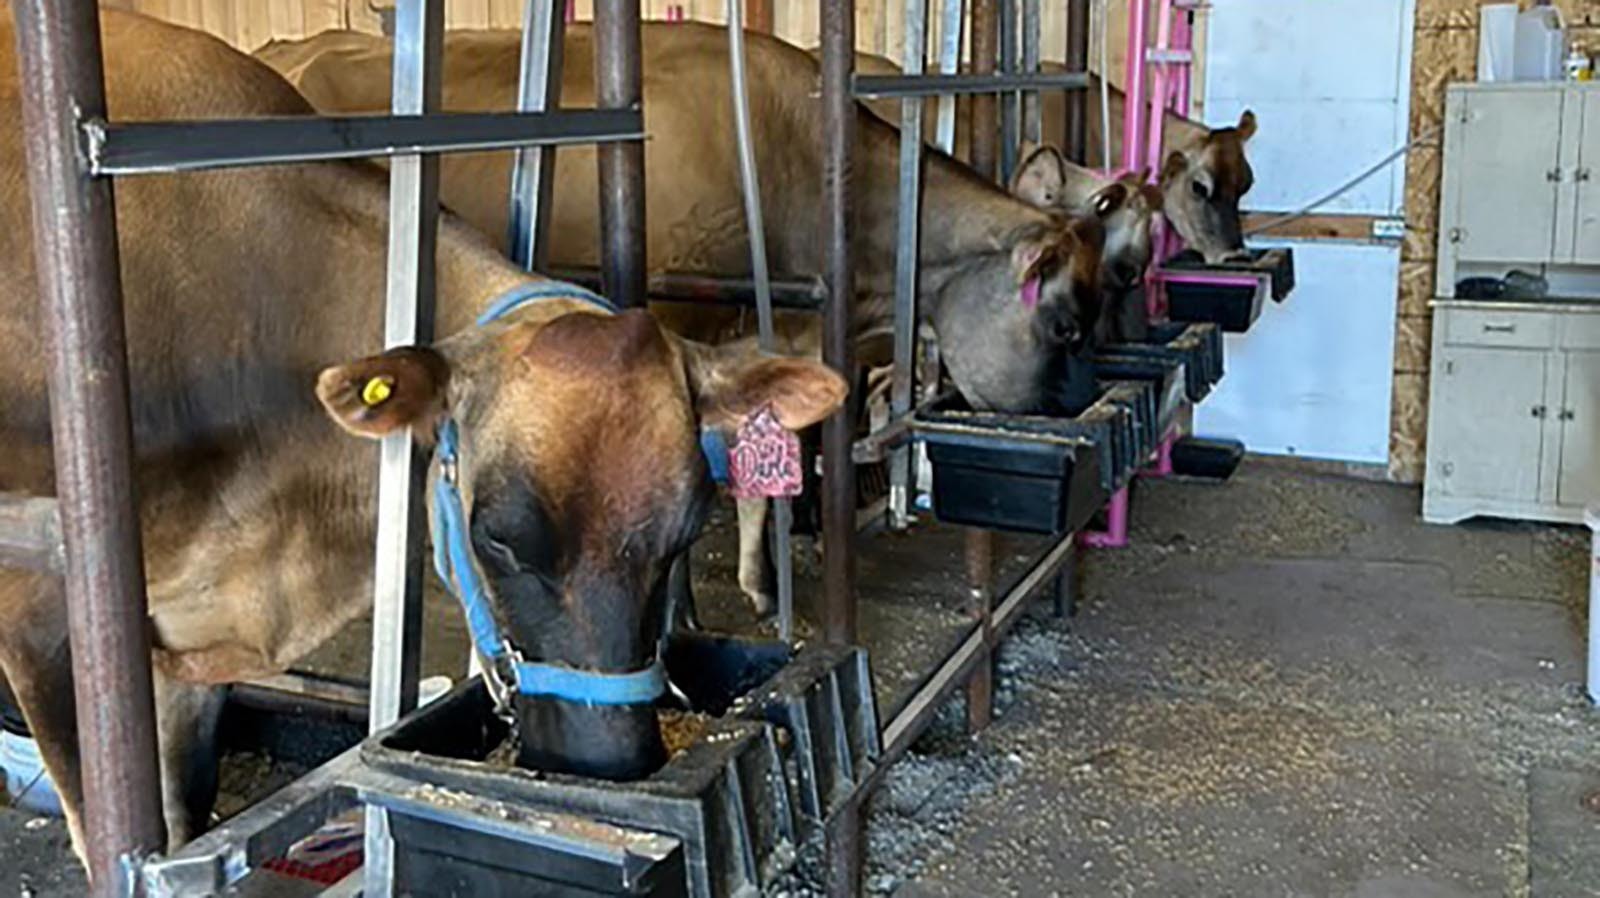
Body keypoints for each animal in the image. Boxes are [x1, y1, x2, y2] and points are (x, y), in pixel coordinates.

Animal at [0, 10, 851, 870]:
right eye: (497, 537)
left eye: (684, 533)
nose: (608, 761)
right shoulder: (43, 616)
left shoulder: (191, 640)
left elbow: (191, 809)